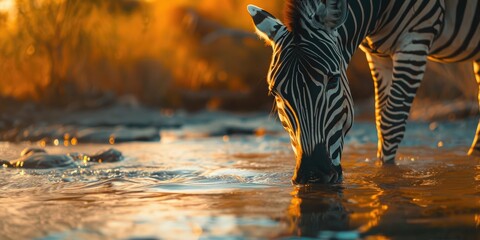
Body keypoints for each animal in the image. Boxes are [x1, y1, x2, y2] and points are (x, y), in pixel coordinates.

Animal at [248, 0, 480, 185]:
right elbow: (380, 122)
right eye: (275, 93)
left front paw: (388, 181)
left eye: (333, 80)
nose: (312, 176)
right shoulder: (378, 55)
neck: (379, 11)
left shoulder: (415, 39)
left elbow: (392, 124)